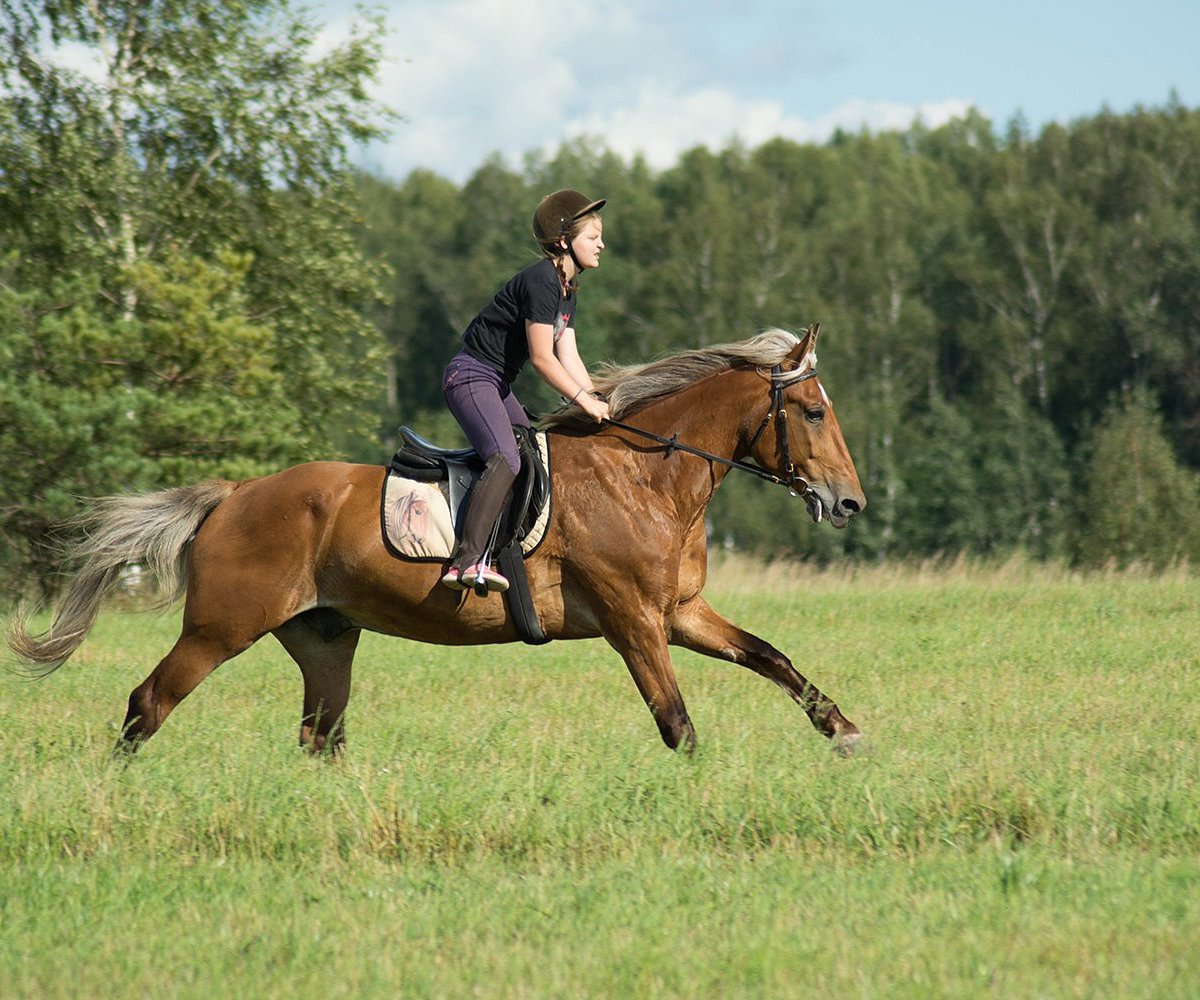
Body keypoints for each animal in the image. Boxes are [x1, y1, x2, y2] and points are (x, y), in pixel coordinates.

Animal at [4, 326, 868, 758]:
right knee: (148, 703)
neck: (646, 475)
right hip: (221, 628)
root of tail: (234, 493)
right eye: (814, 412)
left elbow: (772, 658)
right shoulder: (633, 622)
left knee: (321, 735)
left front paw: (845, 732)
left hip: (323, 637)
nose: (849, 501)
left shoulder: (679, 613)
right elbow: (677, 723)